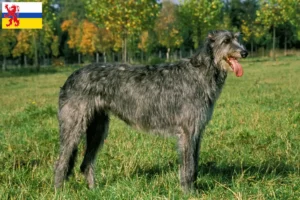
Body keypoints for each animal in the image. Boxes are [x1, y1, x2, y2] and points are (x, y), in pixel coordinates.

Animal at [54, 30, 248, 191]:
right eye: (226, 41)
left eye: (237, 38)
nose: (244, 52)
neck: (200, 72)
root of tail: (70, 78)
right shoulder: (187, 131)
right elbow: (188, 166)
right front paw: (189, 192)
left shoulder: (197, 132)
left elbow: (194, 165)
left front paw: (195, 189)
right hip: (74, 125)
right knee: (61, 163)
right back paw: (60, 192)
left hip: (98, 128)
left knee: (86, 163)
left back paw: (94, 191)